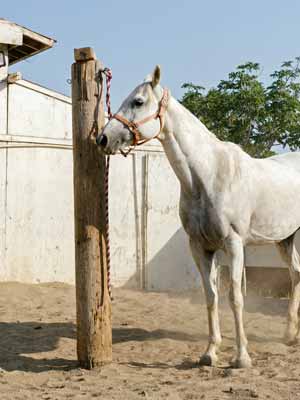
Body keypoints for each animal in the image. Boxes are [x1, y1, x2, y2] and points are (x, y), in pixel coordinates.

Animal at [96, 66, 300, 368]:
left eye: (138, 101)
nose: (103, 138)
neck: (209, 176)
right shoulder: (200, 247)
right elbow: (211, 296)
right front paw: (210, 352)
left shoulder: (234, 245)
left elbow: (235, 297)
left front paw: (242, 357)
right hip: (284, 239)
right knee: (295, 274)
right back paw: (289, 334)